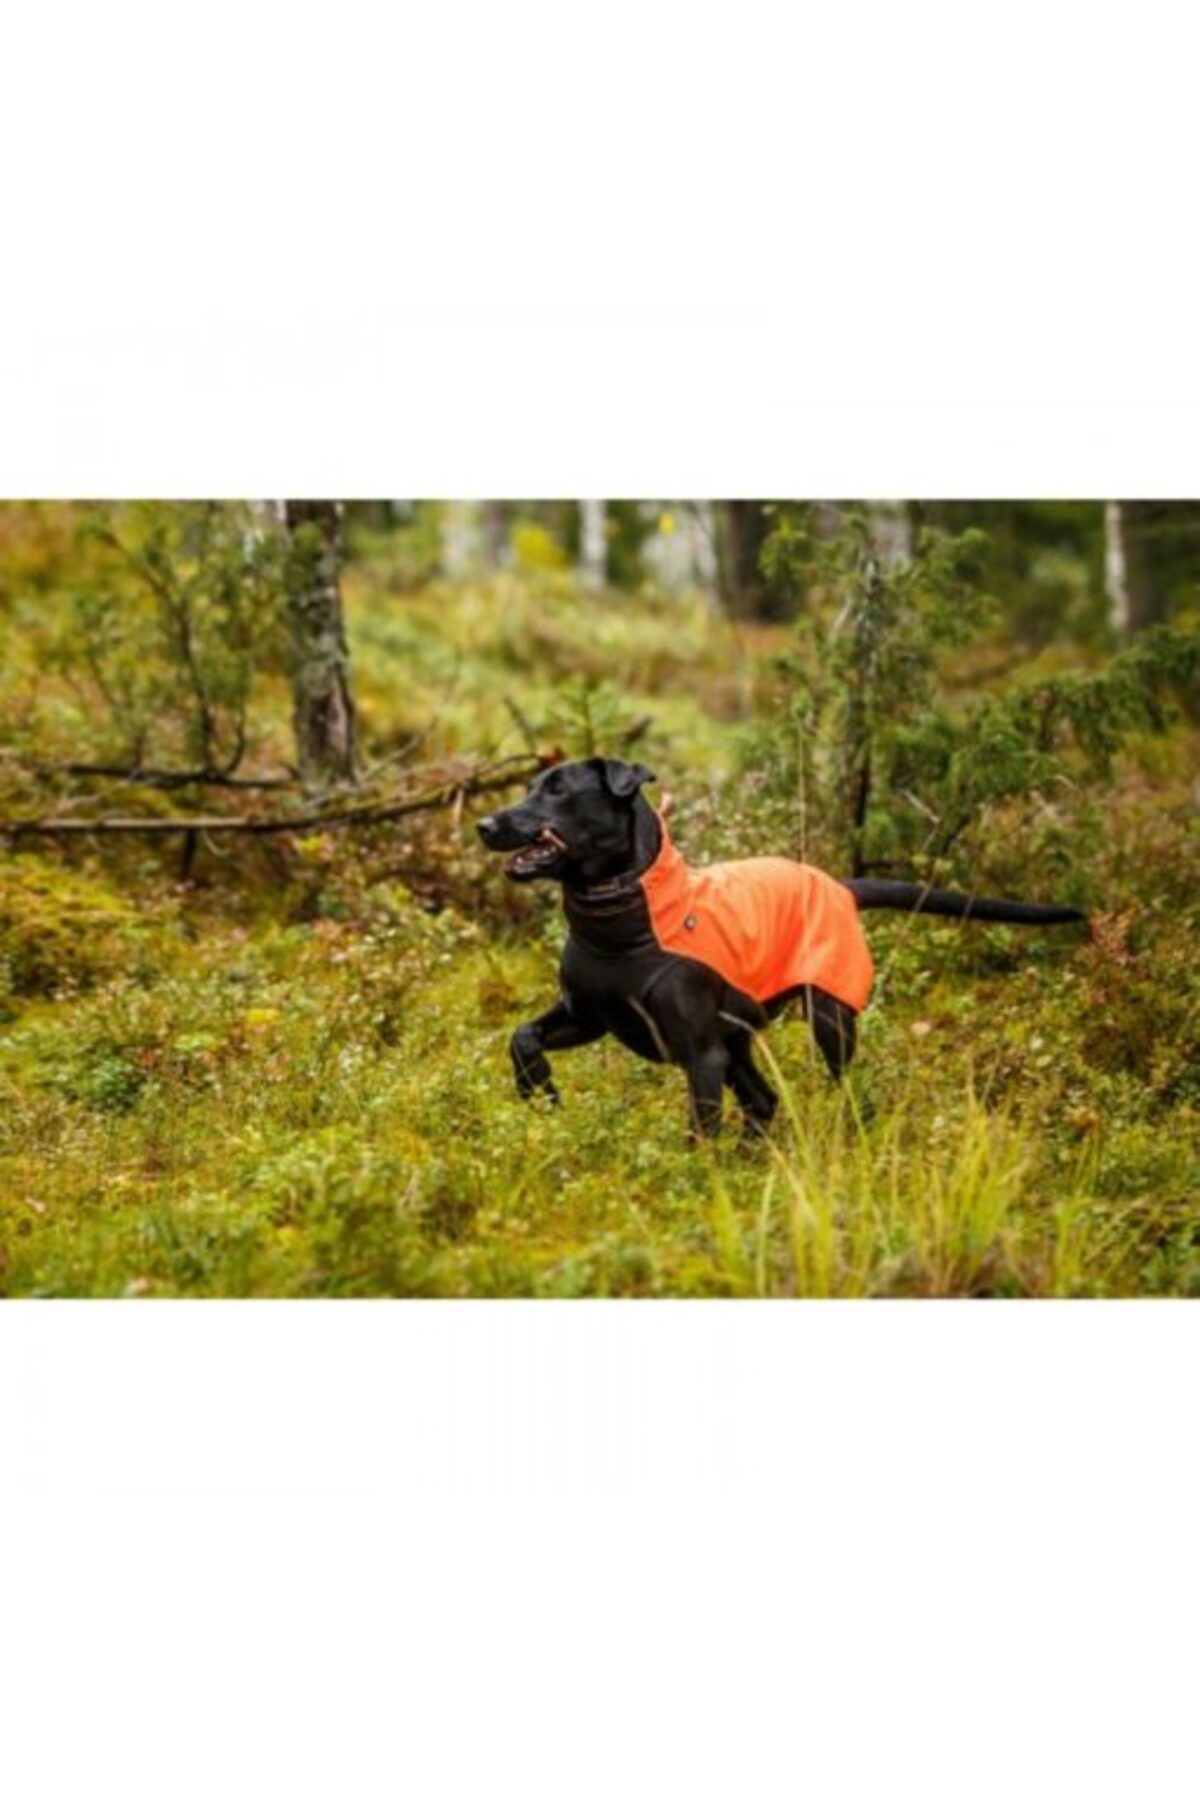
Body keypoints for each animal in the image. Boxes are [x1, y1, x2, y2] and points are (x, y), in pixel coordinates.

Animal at [478, 758, 1085, 1136]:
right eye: (530, 787)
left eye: (558, 790)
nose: (484, 823)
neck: (625, 922)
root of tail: (839, 885)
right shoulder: (590, 1015)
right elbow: (522, 1036)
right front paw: (539, 1090)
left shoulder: (700, 1053)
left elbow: (700, 1134)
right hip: (739, 1040)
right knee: (764, 1102)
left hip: (828, 1018)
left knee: (842, 1088)